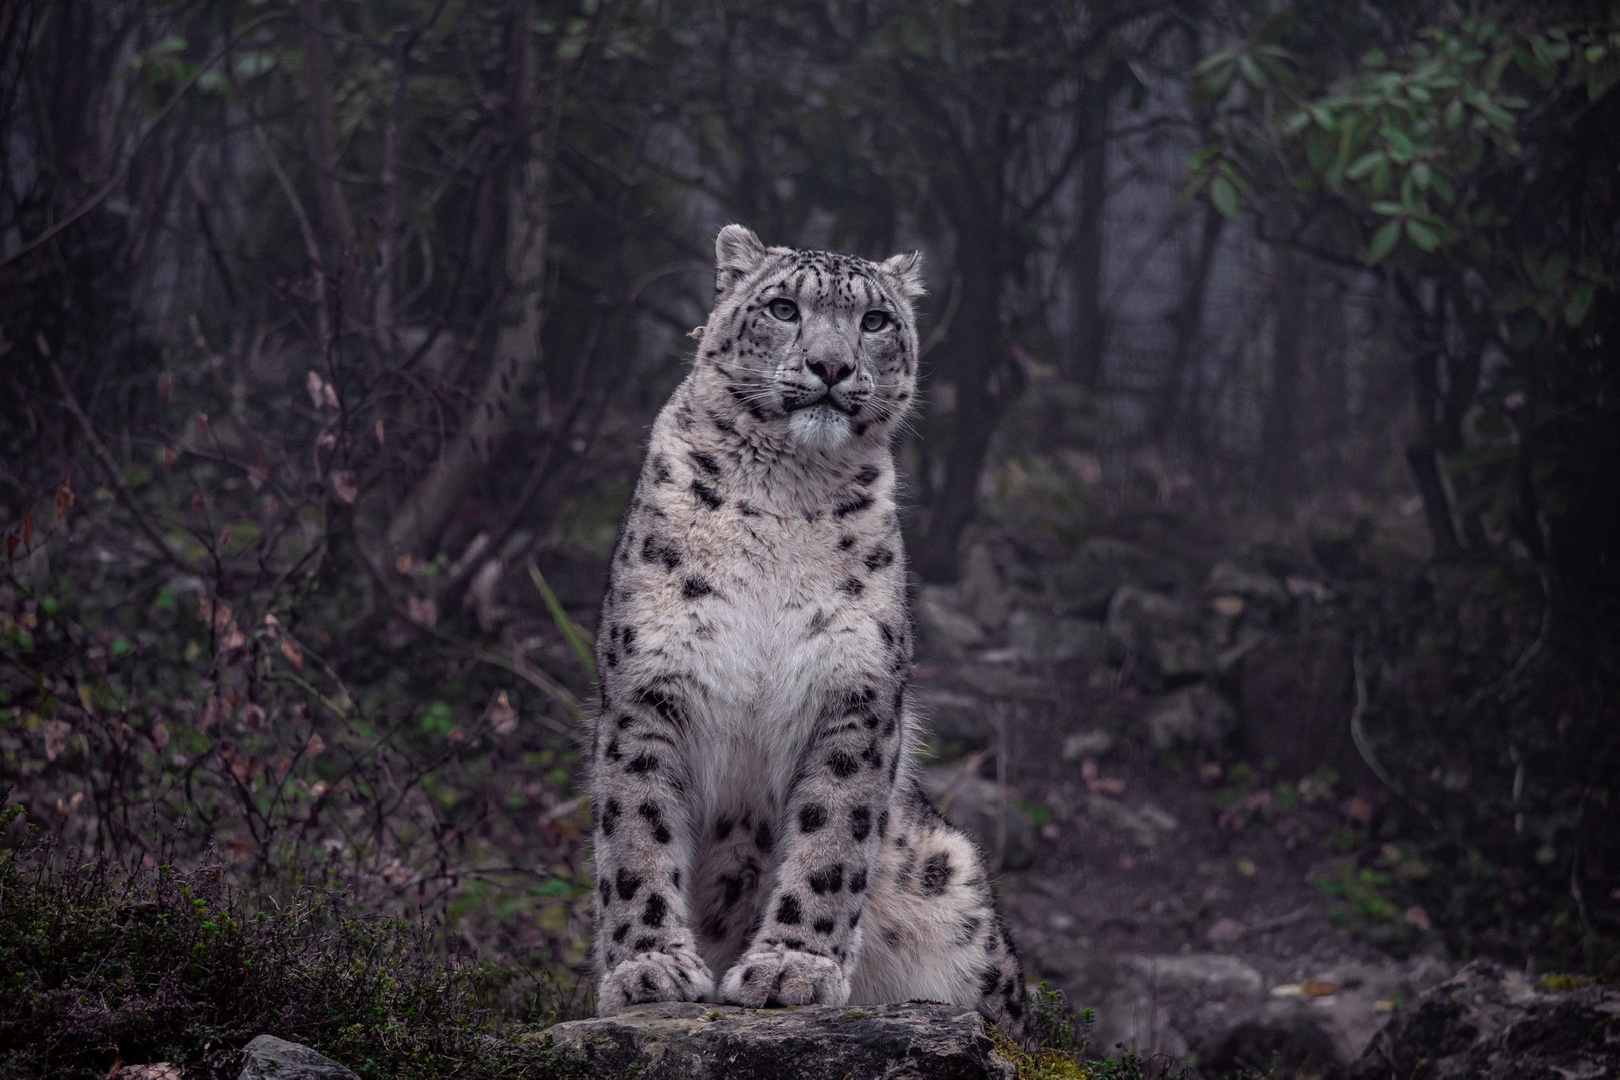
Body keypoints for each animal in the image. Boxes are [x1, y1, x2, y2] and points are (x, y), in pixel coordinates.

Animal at [589, 226, 1030, 1036]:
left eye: (876, 321)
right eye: (783, 308)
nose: (831, 365)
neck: (784, 496)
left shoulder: (854, 690)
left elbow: (833, 836)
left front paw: (793, 968)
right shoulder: (648, 686)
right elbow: (637, 829)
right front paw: (650, 969)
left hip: (956, 887)